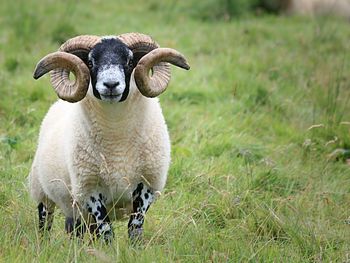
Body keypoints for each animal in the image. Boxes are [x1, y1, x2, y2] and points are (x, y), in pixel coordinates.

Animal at [28, 33, 190, 243]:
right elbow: (106, 230)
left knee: (75, 228)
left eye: (130, 61)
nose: (111, 85)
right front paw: (110, 248)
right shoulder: (89, 189)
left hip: (74, 208)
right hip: (43, 193)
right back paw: (44, 245)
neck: (117, 138)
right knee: (45, 223)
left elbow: (135, 227)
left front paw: (134, 247)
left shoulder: (146, 185)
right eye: (90, 61)